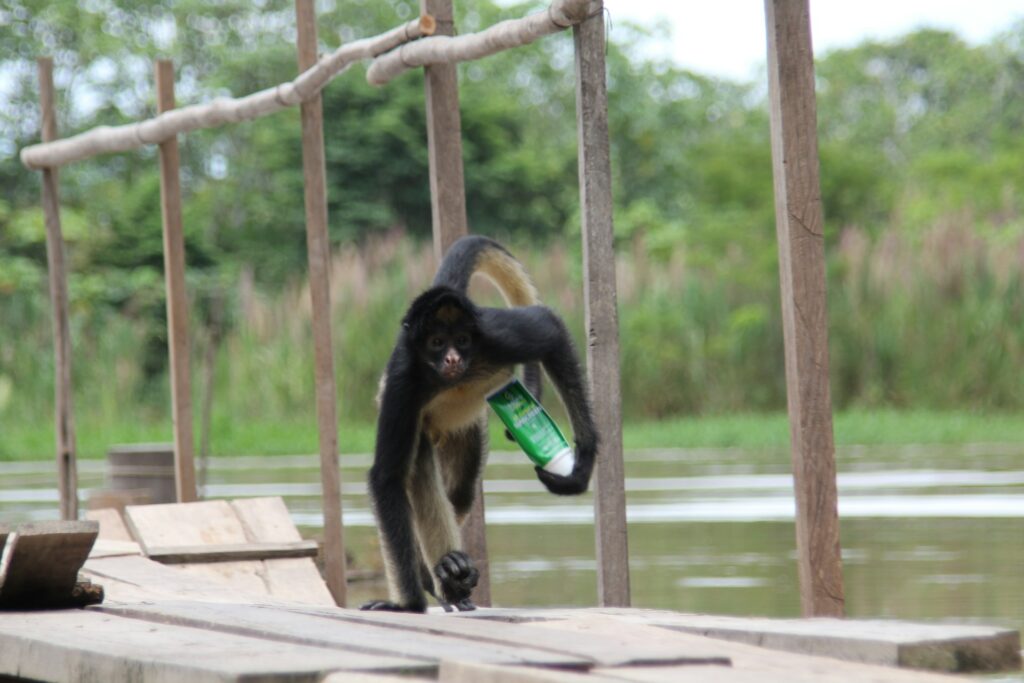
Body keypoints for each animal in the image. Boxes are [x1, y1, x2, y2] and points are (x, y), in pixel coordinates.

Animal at [362, 235, 598, 614]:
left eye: (461, 340)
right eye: (437, 343)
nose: (452, 358)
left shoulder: (492, 336)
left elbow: (551, 331)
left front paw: (583, 462)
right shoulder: (402, 383)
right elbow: (387, 477)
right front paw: (408, 605)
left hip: (467, 429)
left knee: (459, 491)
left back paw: (446, 574)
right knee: (420, 466)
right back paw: (441, 573)